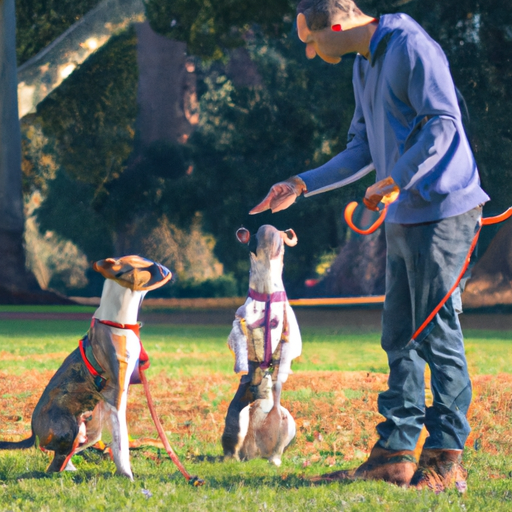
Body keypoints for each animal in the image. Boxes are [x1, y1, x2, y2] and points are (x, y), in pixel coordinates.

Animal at [0, 256, 172, 480]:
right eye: (139, 264)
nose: (162, 267)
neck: (119, 322)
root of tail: (33, 432)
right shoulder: (116, 397)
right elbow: (121, 443)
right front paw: (127, 476)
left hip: (88, 432)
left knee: (68, 455)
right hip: (70, 429)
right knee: (55, 465)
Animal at [222, 224, 302, 464]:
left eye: (282, 242)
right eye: (252, 240)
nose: (268, 228)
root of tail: (253, 452)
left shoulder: (287, 330)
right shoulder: (241, 322)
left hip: (286, 422)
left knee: (277, 444)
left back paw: (273, 459)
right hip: (238, 422)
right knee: (233, 436)